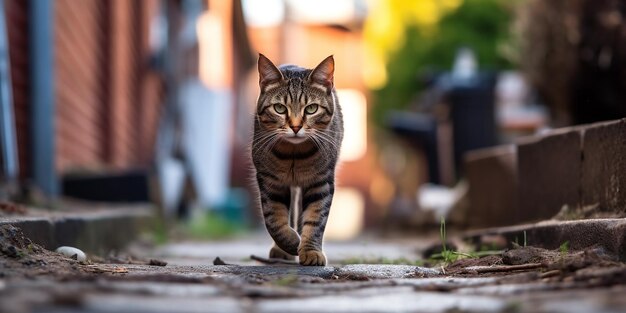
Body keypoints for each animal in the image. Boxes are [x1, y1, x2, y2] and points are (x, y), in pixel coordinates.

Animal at [251, 54, 344, 266]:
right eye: (279, 108)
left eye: (311, 109)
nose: (295, 127)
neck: (294, 154)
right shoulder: (270, 181)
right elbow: (274, 220)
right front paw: (292, 242)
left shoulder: (320, 183)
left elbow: (315, 219)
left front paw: (310, 250)